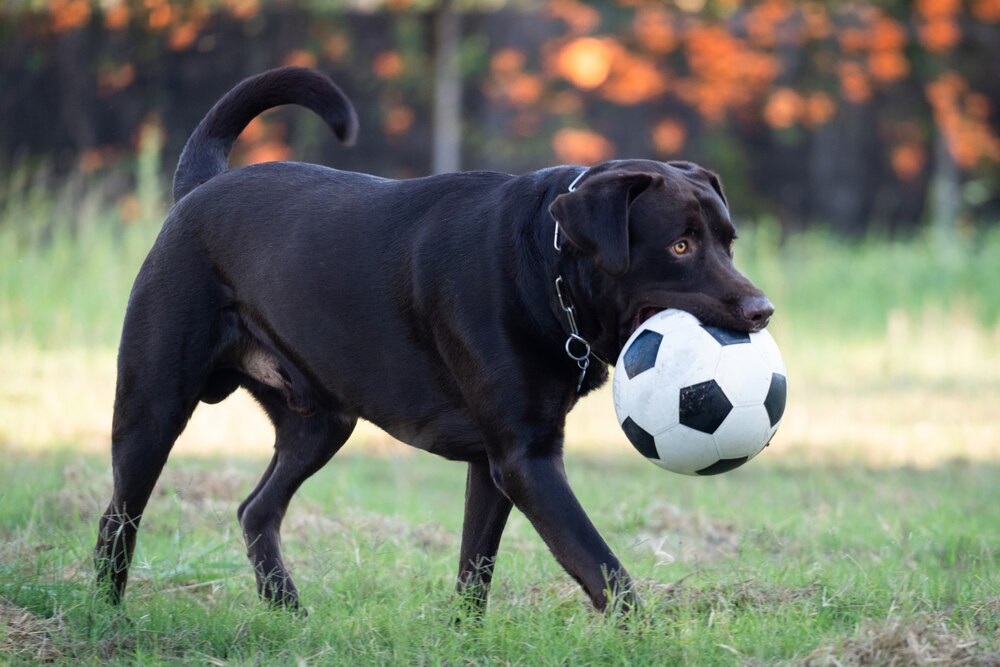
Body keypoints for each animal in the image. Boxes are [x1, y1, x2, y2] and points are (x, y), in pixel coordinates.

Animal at [95, 68, 772, 616]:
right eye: (680, 245)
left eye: (728, 241)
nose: (761, 310)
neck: (543, 268)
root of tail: (197, 189)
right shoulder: (526, 459)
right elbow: (599, 564)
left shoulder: (497, 463)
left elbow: (477, 566)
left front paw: (464, 637)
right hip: (153, 408)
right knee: (119, 516)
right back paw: (107, 616)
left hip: (320, 422)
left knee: (256, 508)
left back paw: (287, 611)